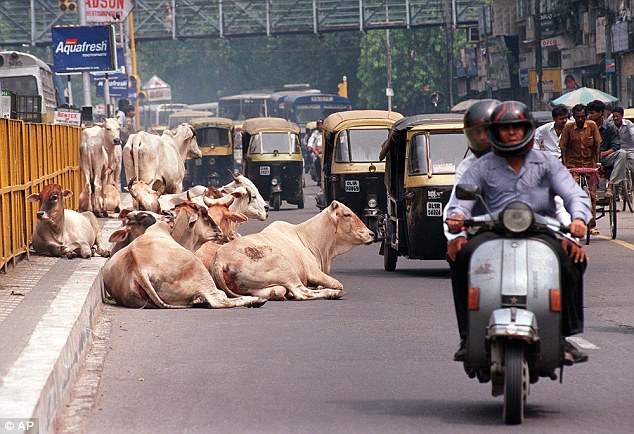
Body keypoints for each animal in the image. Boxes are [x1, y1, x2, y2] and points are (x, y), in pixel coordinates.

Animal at [210, 199, 372, 298]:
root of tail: (220, 260)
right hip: (286, 269)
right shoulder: (314, 272)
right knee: (302, 292)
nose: (371, 234)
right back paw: (331, 293)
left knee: (277, 291)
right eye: (347, 214)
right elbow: (337, 284)